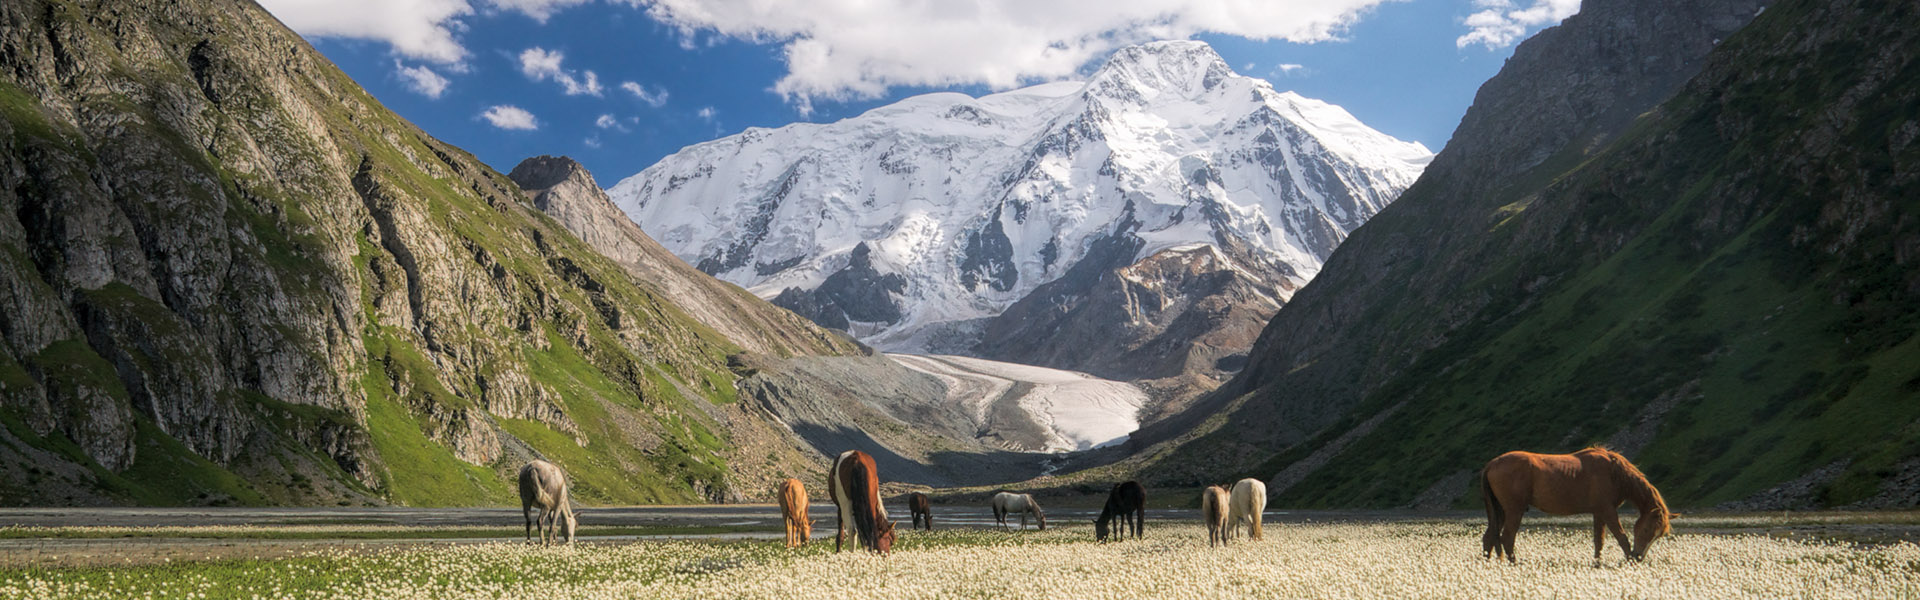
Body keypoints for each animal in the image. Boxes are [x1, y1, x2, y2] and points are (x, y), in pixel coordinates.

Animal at [1474, 446, 1674, 561]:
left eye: (1659, 535)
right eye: (1647, 529)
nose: (1639, 557)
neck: (1614, 473)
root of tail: (1491, 464)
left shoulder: (1598, 512)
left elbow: (1599, 541)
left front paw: (1597, 564)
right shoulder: (1608, 510)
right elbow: (1621, 538)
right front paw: (1628, 561)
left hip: (1499, 511)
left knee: (1489, 538)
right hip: (1513, 510)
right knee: (1507, 538)